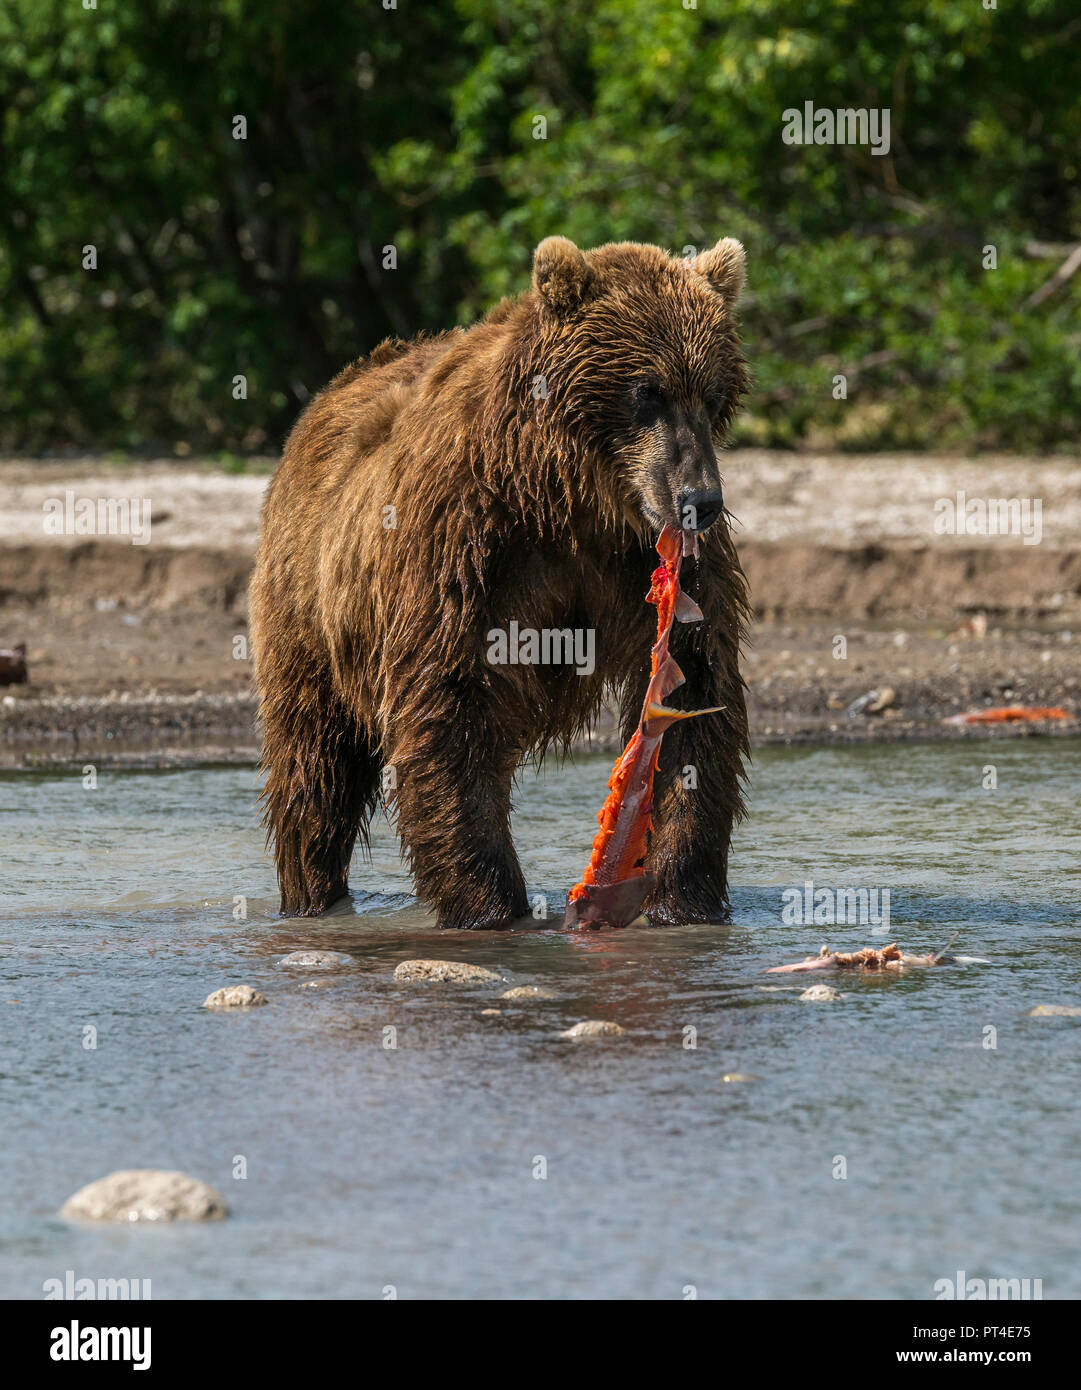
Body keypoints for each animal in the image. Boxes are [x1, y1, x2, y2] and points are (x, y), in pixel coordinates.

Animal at [247, 237, 744, 928]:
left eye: (713, 393)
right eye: (648, 391)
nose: (700, 499)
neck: (568, 498)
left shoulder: (646, 563)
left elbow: (695, 698)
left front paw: (681, 897)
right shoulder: (463, 542)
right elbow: (448, 700)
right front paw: (491, 905)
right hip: (309, 609)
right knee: (314, 765)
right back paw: (311, 893)